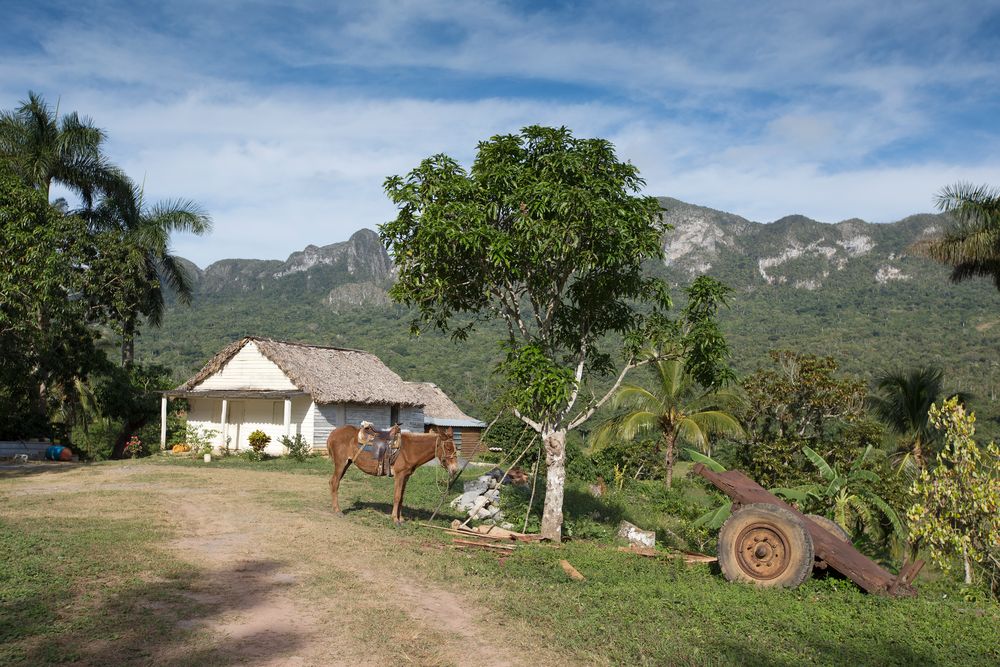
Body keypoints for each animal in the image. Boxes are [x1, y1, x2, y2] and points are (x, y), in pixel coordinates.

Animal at [328, 426, 460, 524]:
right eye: (448, 448)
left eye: (455, 448)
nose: (454, 470)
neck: (409, 449)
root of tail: (333, 433)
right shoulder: (399, 476)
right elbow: (397, 497)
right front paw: (395, 519)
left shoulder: (406, 477)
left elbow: (401, 497)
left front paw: (401, 518)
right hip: (341, 463)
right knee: (335, 482)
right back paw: (337, 510)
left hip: (347, 463)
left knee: (333, 482)